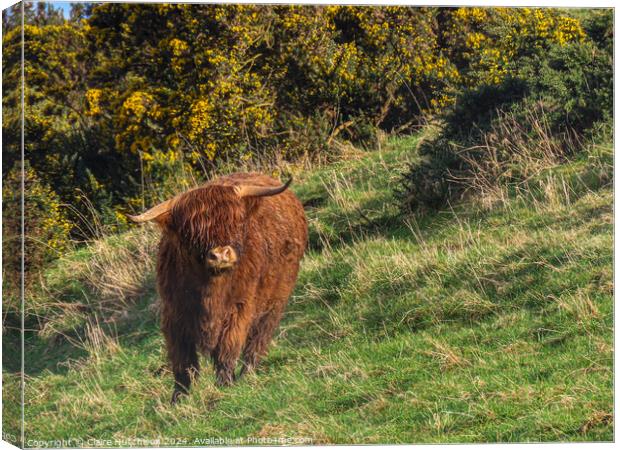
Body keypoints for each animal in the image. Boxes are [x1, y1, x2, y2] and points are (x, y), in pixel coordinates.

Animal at [129, 173, 308, 404]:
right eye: (191, 232)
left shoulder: (240, 307)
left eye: (236, 221)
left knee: (258, 340)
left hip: (275, 302)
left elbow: (227, 348)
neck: (210, 289)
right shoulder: (174, 314)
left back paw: (247, 373)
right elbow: (182, 360)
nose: (221, 254)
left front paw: (225, 384)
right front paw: (179, 398)